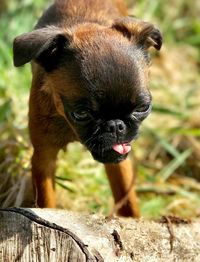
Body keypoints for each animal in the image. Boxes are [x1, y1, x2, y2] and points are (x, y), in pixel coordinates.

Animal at [12, 0, 162, 217]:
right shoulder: (43, 156)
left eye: (143, 108)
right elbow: (46, 201)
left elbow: (127, 200)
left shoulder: (120, 162)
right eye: (81, 114)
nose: (116, 125)